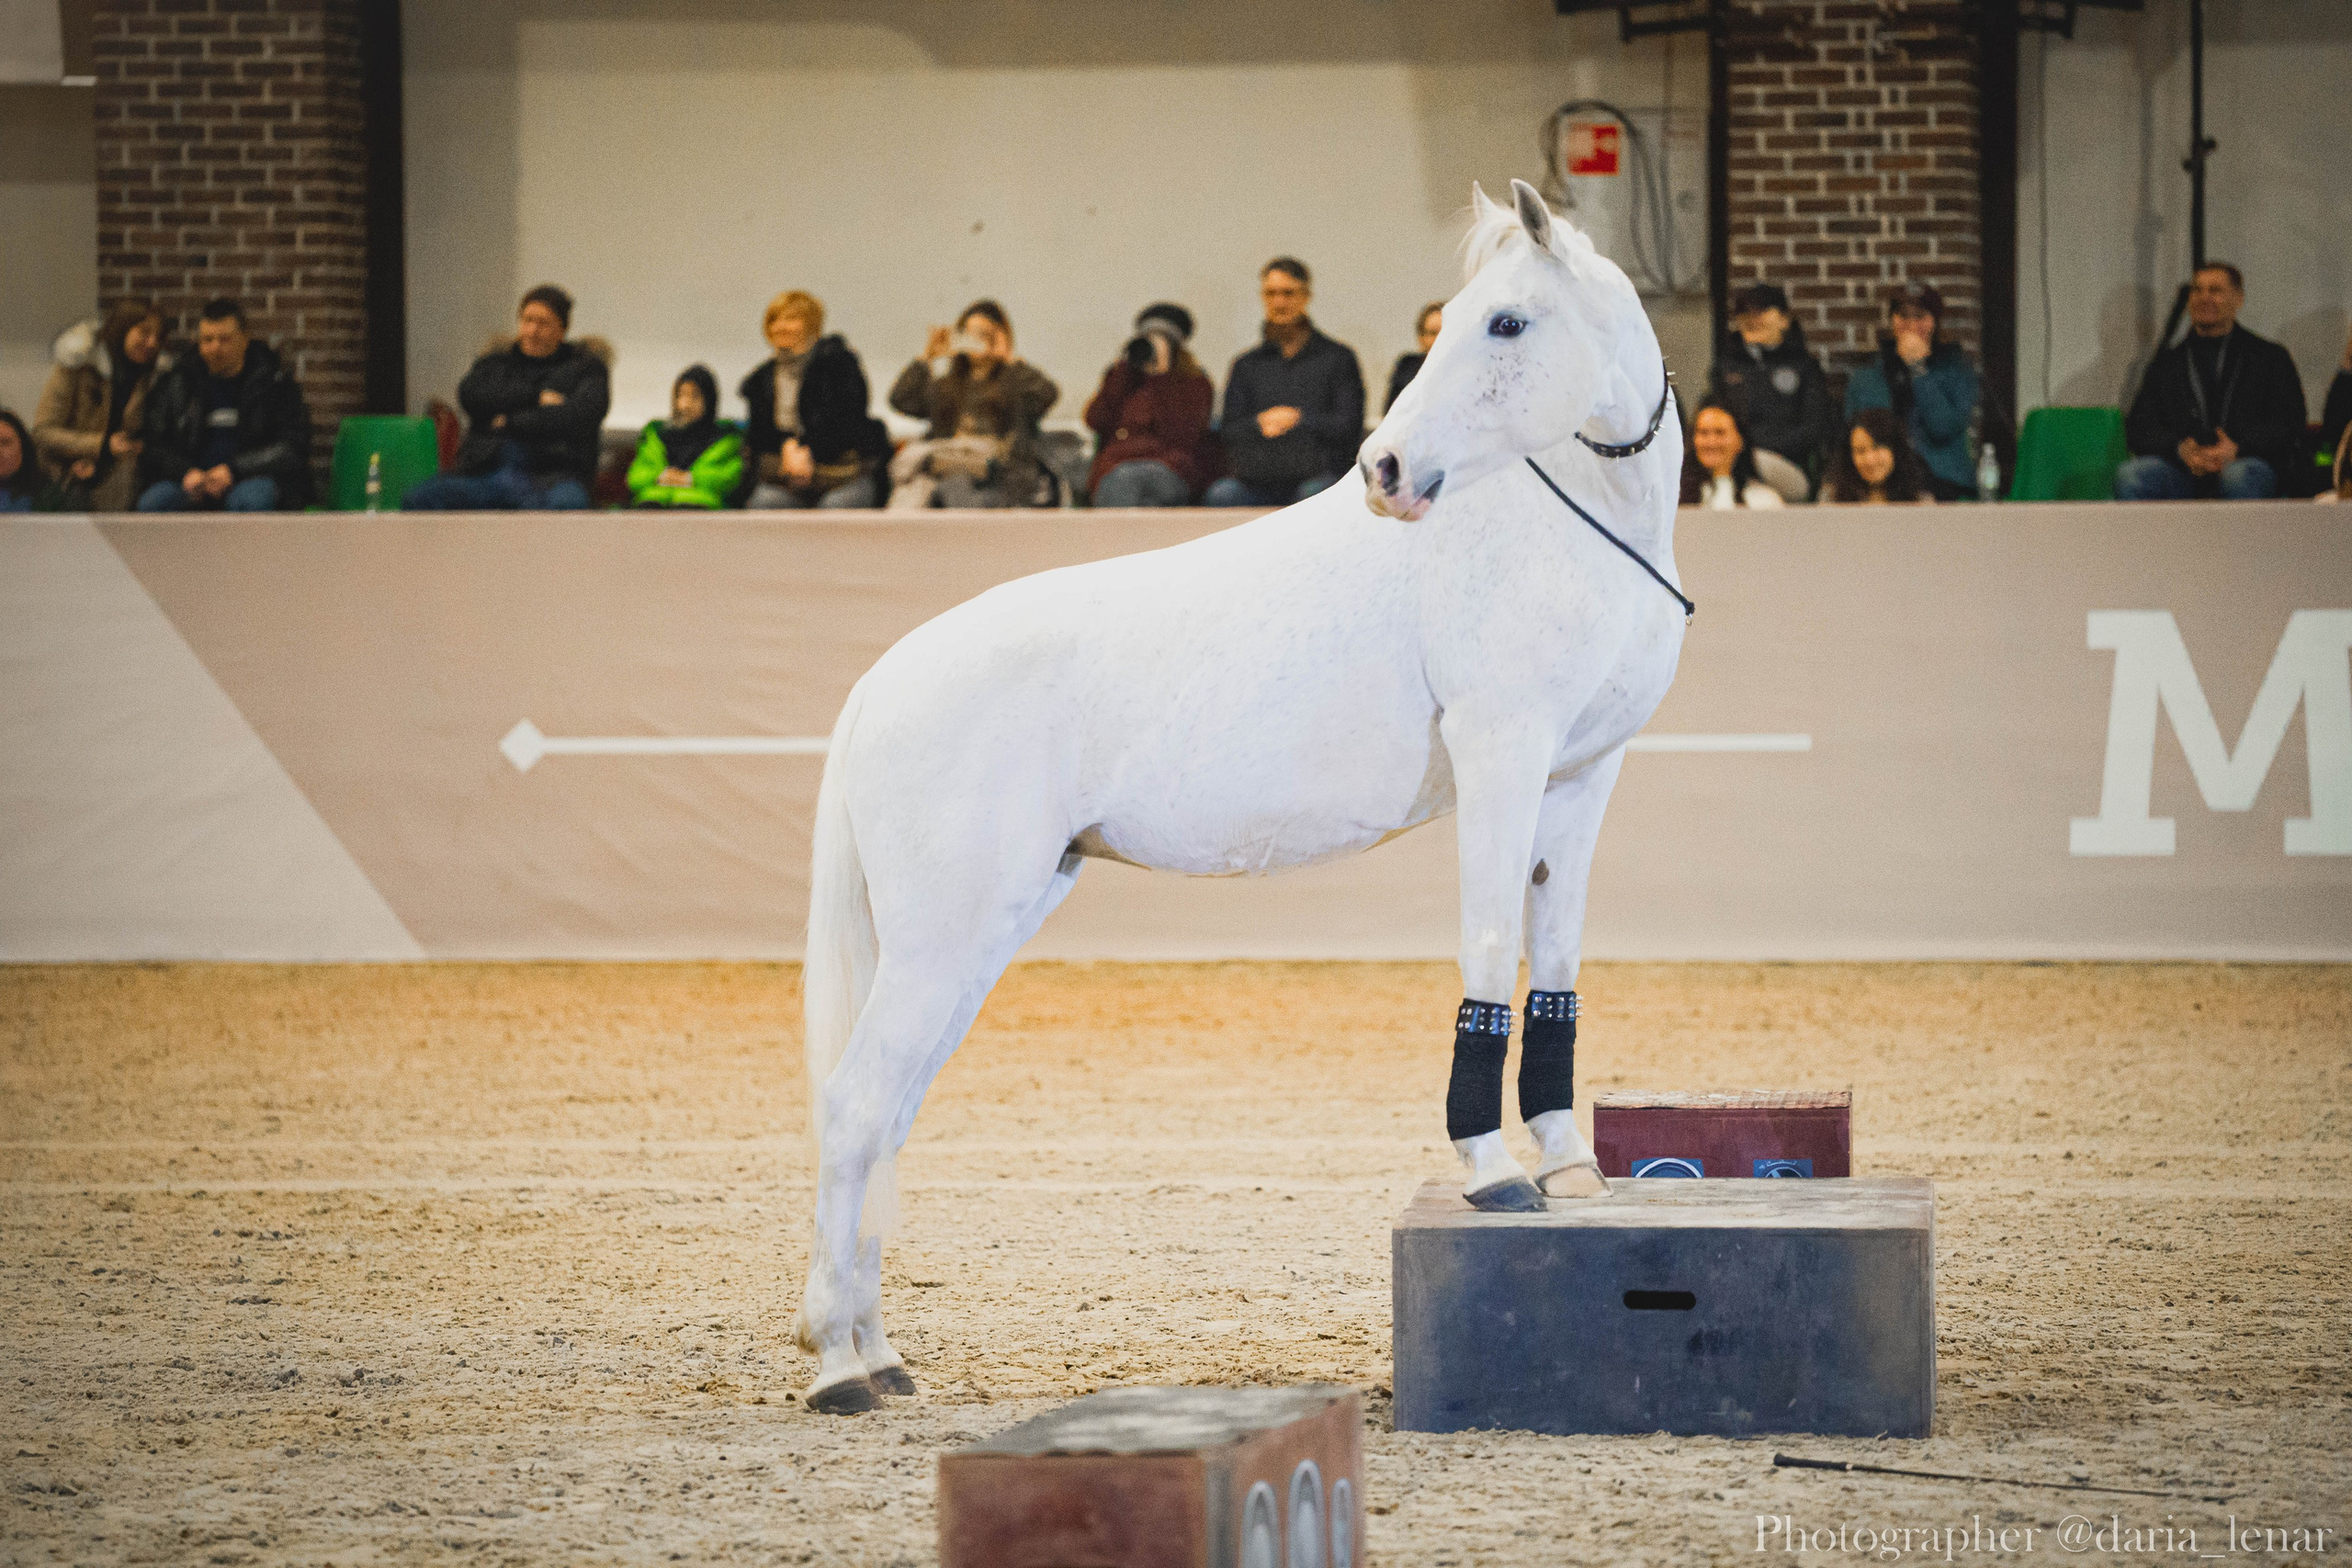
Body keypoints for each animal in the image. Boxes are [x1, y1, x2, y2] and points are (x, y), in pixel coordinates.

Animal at [794, 179, 1687, 1414]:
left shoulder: (1579, 775)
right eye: (1463, 318)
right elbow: (1489, 943)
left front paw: (1567, 1161)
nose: (1385, 472)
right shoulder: (1503, 755)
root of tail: (882, 682)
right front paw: (1493, 1171)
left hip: (974, 936)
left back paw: (880, 1354)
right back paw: (839, 1365)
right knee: (851, 1109)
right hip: (943, 936)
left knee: (888, 1114)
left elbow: (1551, 955)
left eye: (1505, 322)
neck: (1558, 528)